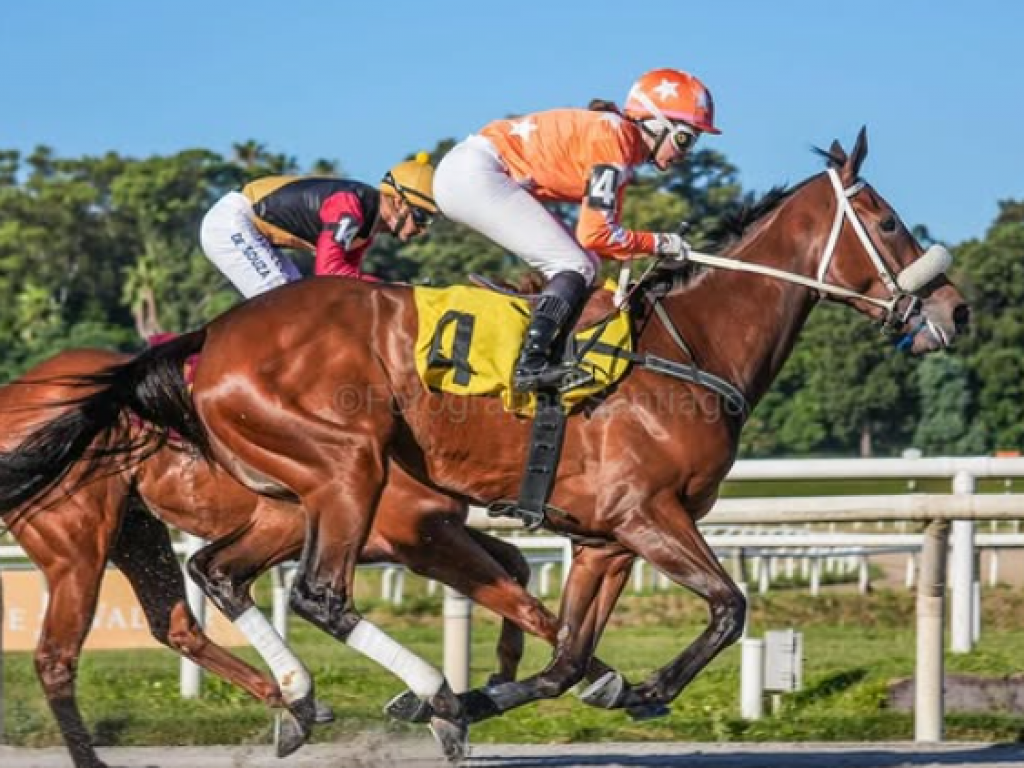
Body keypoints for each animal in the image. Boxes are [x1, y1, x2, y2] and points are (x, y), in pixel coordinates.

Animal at [0, 350, 569, 768]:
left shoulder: (432, 529)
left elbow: (518, 569)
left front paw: (494, 678)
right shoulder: (421, 537)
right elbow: (527, 605)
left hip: (136, 529)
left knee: (175, 624)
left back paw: (293, 701)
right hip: (77, 546)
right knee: (56, 657)